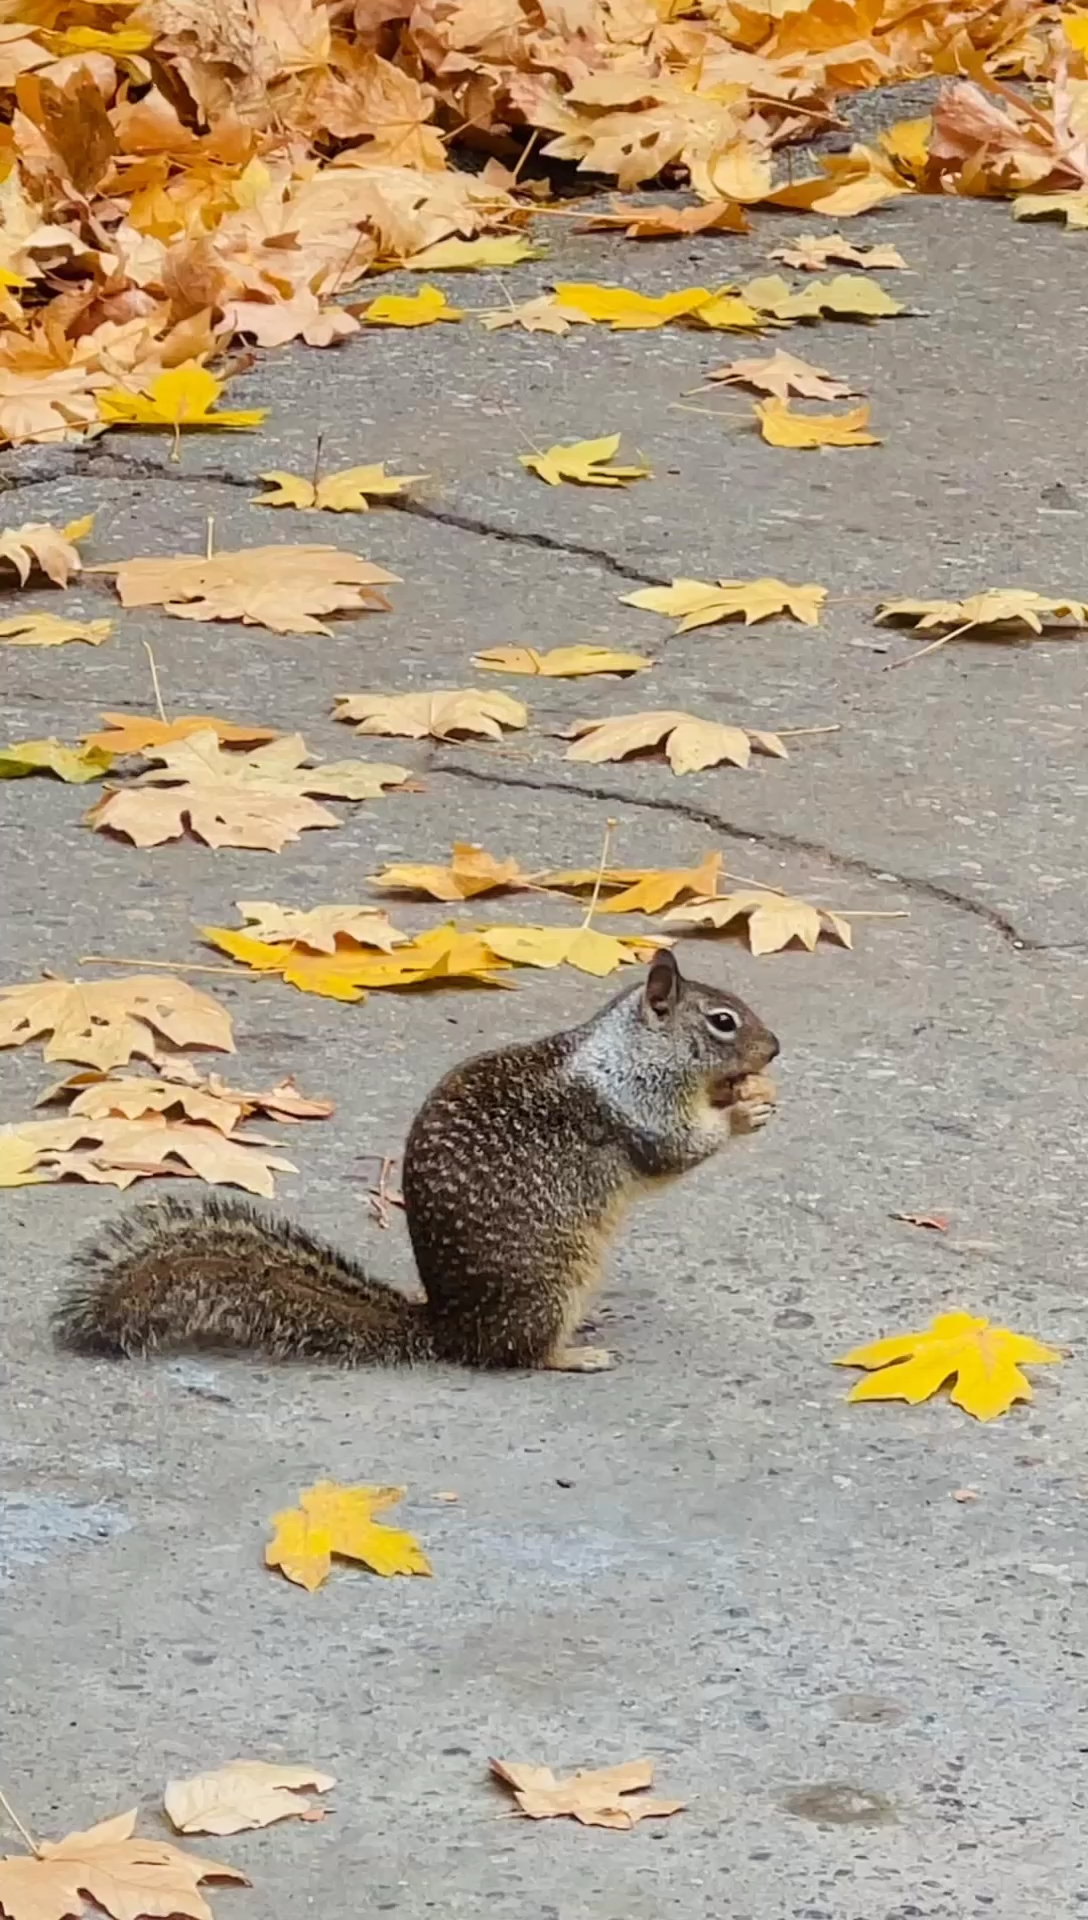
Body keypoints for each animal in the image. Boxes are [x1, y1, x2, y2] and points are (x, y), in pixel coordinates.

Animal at [55, 948, 779, 1374]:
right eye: (721, 1021)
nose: (774, 1049)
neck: (631, 1051)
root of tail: (449, 1330)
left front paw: (745, 1094)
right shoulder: (637, 1107)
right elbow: (677, 1151)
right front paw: (744, 1113)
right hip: (552, 1283)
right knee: (518, 1357)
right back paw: (576, 1354)